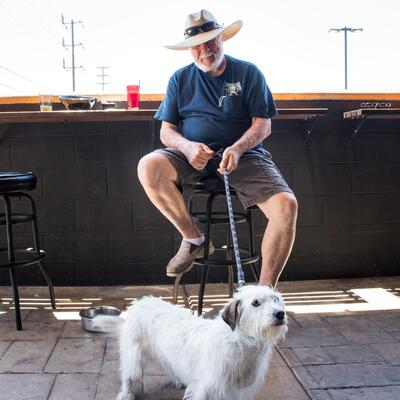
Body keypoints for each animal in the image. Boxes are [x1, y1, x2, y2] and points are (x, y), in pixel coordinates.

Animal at [94, 284, 288, 400]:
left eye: (276, 299)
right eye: (256, 303)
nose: (280, 314)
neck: (239, 341)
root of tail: (140, 302)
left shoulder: (238, 391)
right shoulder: (206, 388)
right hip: (133, 355)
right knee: (128, 375)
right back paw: (125, 394)